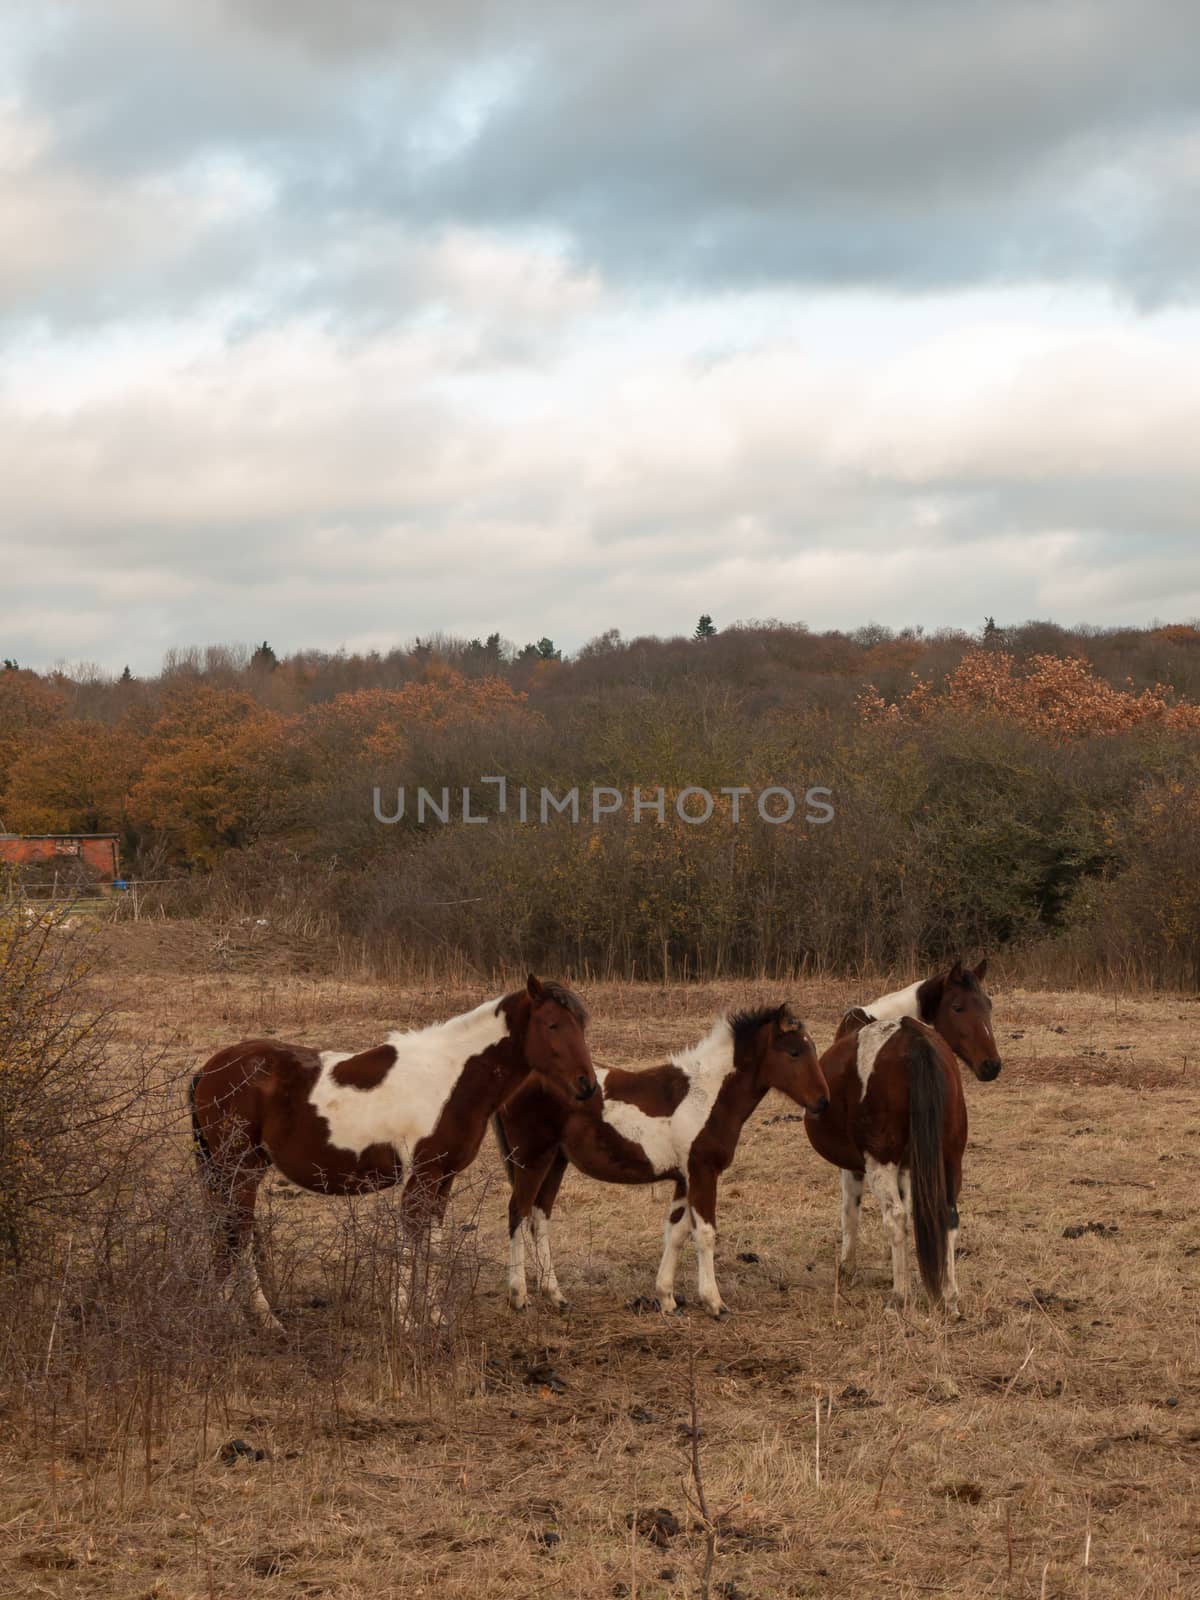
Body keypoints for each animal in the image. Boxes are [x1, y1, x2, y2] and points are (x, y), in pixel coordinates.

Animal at [190, 972, 598, 1337]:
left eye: (581, 1025)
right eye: (552, 1024)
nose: (588, 1085)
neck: (450, 1076)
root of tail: (208, 1070)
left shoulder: (442, 1179)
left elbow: (431, 1243)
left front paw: (435, 1316)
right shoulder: (421, 1177)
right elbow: (408, 1243)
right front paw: (404, 1320)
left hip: (233, 1172)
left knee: (227, 1230)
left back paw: (234, 1315)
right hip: (239, 1171)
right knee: (238, 1232)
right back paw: (258, 1319)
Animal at [492, 1004, 832, 1318]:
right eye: (794, 1052)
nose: (823, 1101)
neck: (707, 1095)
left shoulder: (684, 1178)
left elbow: (676, 1233)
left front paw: (667, 1299)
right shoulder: (703, 1172)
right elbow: (705, 1233)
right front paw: (715, 1303)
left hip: (555, 1162)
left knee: (539, 1217)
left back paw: (556, 1296)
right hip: (532, 1159)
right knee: (518, 1212)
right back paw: (519, 1296)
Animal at [809, 960, 1004, 1312]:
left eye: (988, 1006)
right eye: (958, 1007)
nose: (991, 1065)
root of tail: (914, 1041)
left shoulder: (857, 1167)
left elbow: (851, 1210)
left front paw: (848, 1268)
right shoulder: (910, 1166)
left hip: (880, 1163)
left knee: (896, 1217)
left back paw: (899, 1295)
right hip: (950, 1159)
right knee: (948, 1216)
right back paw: (949, 1295)